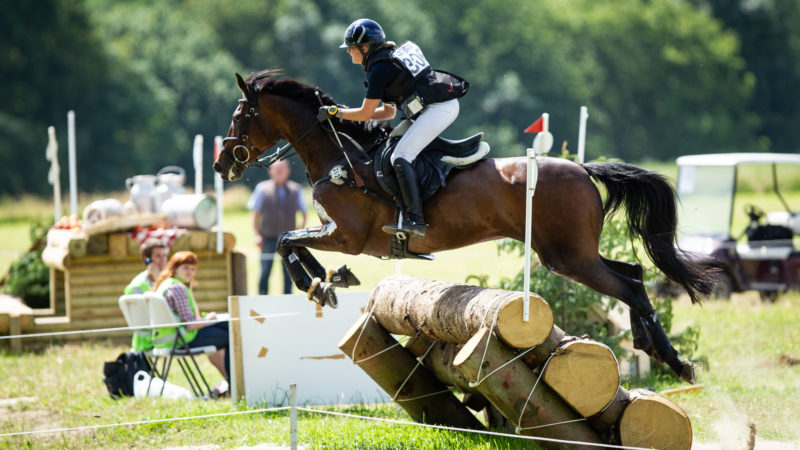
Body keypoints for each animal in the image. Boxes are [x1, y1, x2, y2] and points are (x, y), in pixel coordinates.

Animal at [214, 68, 720, 382]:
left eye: (240, 116)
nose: (222, 165)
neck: (340, 156)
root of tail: (582, 169)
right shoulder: (336, 234)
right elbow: (292, 243)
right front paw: (329, 279)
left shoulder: (350, 236)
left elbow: (286, 241)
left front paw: (320, 284)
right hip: (573, 253)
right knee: (633, 274)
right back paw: (654, 350)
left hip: (567, 256)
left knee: (629, 285)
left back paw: (674, 362)